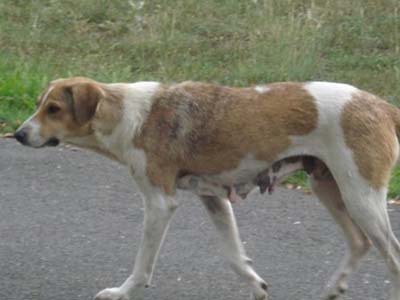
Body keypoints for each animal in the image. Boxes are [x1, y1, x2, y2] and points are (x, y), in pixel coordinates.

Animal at [14, 77, 400, 300]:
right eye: (38, 105)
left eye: (54, 109)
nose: (17, 134)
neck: (127, 115)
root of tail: (382, 106)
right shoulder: (213, 198)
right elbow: (234, 256)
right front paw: (257, 287)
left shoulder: (160, 204)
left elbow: (142, 266)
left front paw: (122, 292)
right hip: (329, 188)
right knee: (359, 243)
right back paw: (334, 288)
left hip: (360, 197)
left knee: (392, 256)